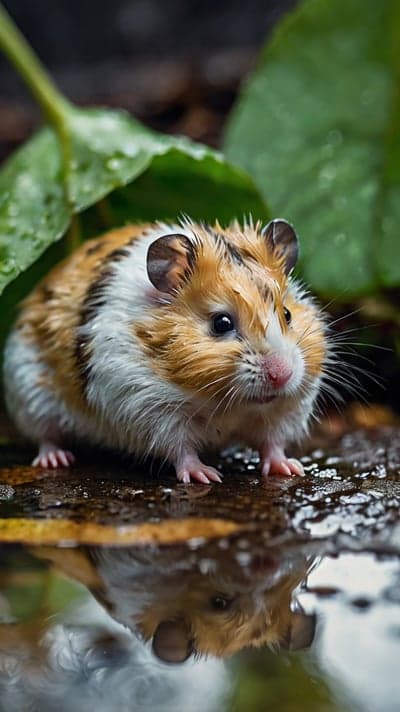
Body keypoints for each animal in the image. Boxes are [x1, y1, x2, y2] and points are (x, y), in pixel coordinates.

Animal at [3, 218, 327, 483]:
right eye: (221, 323)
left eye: (287, 314)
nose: (282, 375)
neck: (225, 403)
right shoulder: (150, 409)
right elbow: (180, 449)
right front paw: (206, 476)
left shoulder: (286, 408)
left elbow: (273, 443)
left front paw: (291, 468)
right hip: (31, 394)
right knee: (45, 436)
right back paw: (56, 460)